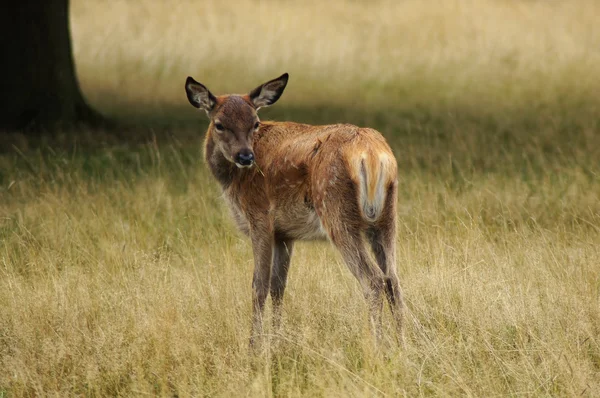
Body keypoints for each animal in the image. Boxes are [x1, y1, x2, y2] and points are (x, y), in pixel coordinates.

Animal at [184, 73, 404, 346]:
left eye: (255, 123)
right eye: (219, 124)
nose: (246, 157)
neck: (232, 181)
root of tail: (372, 154)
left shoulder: (260, 218)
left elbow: (259, 285)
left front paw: (255, 345)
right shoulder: (284, 234)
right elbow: (279, 286)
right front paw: (278, 341)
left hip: (336, 211)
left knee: (374, 280)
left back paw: (377, 345)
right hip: (387, 217)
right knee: (394, 280)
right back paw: (402, 345)